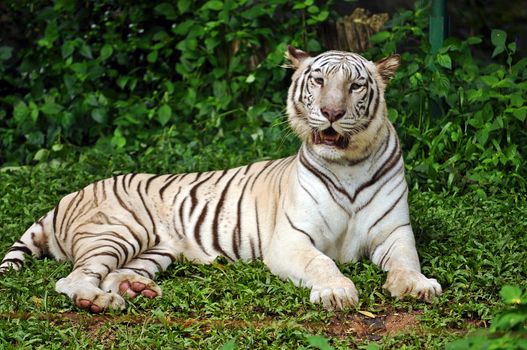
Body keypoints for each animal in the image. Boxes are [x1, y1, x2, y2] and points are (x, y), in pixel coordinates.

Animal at [1, 45, 442, 312]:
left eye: (356, 85)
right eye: (319, 81)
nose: (331, 113)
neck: (348, 163)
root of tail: (67, 196)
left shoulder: (395, 232)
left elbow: (406, 262)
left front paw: (418, 286)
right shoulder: (291, 239)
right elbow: (321, 263)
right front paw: (336, 291)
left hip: (152, 250)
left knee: (112, 274)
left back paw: (134, 290)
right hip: (117, 231)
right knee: (72, 278)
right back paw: (99, 302)